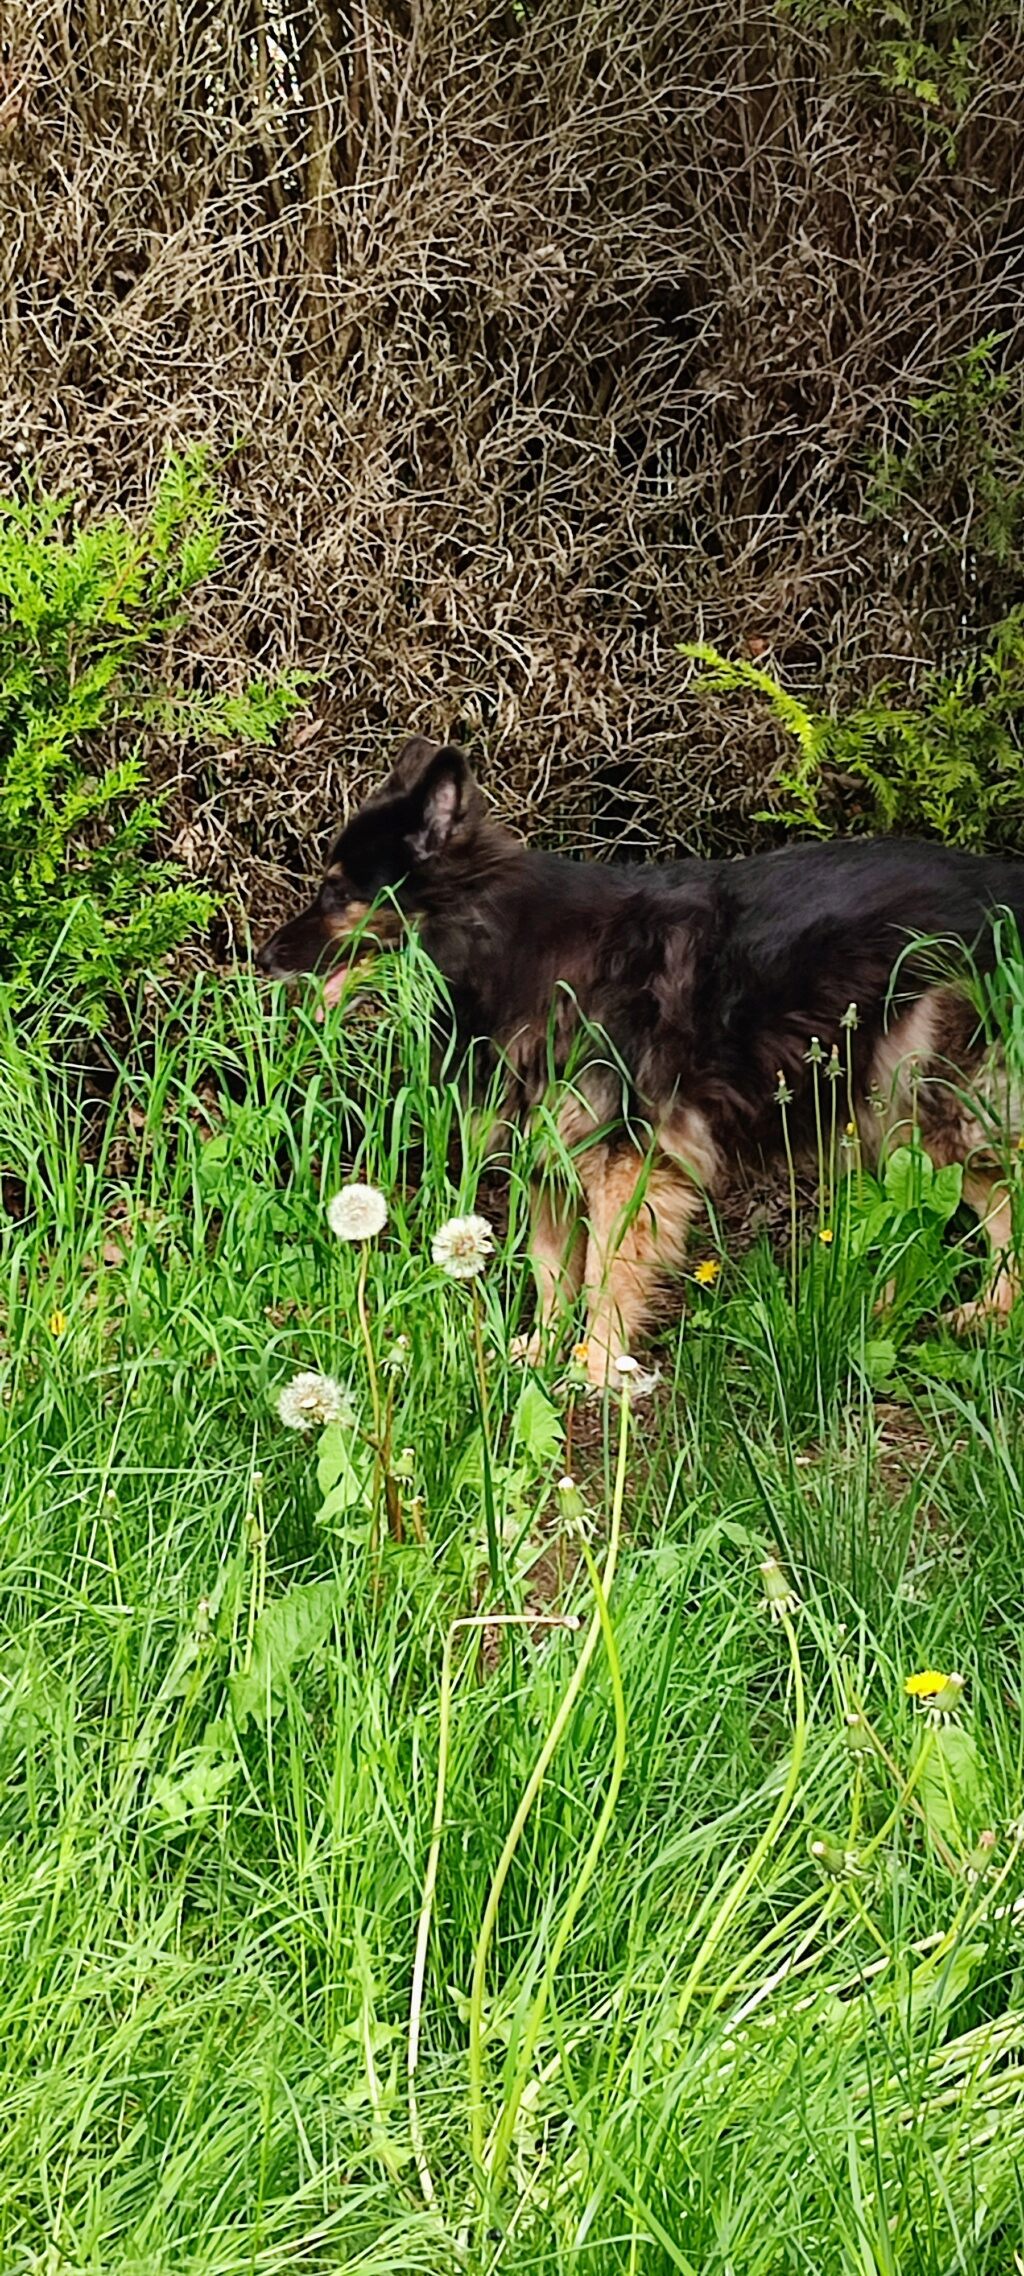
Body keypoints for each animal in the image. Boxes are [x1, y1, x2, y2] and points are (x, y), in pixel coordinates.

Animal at [258, 741, 1024, 1383]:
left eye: (335, 892)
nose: (260, 959)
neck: (508, 947)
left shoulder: (629, 1162)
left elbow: (606, 1272)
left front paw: (597, 1367)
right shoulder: (553, 1152)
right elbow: (551, 1269)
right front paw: (544, 1350)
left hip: (924, 1091)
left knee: (1001, 1198)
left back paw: (990, 1312)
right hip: (884, 1111)